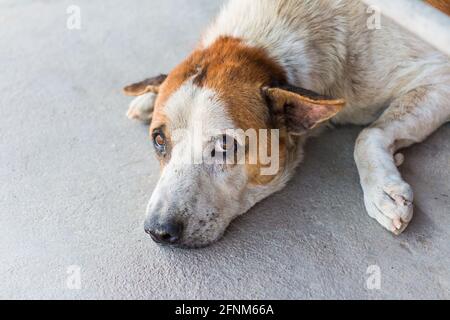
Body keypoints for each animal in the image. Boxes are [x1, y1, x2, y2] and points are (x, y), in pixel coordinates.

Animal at [124, 0, 450, 249]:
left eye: (225, 145)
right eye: (159, 140)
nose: (158, 231)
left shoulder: (439, 77)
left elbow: (369, 134)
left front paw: (382, 190)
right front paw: (149, 95)